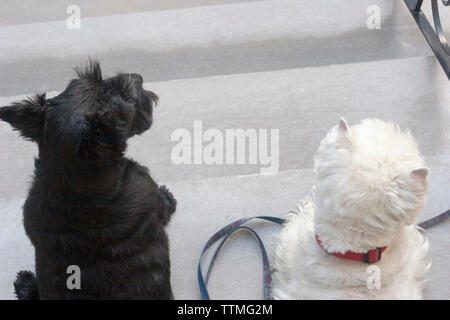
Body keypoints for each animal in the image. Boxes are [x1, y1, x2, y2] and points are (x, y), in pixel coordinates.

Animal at [0, 60, 177, 300]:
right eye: (125, 95)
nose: (137, 76)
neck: (70, 182)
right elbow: (162, 204)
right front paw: (168, 197)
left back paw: (25, 284)